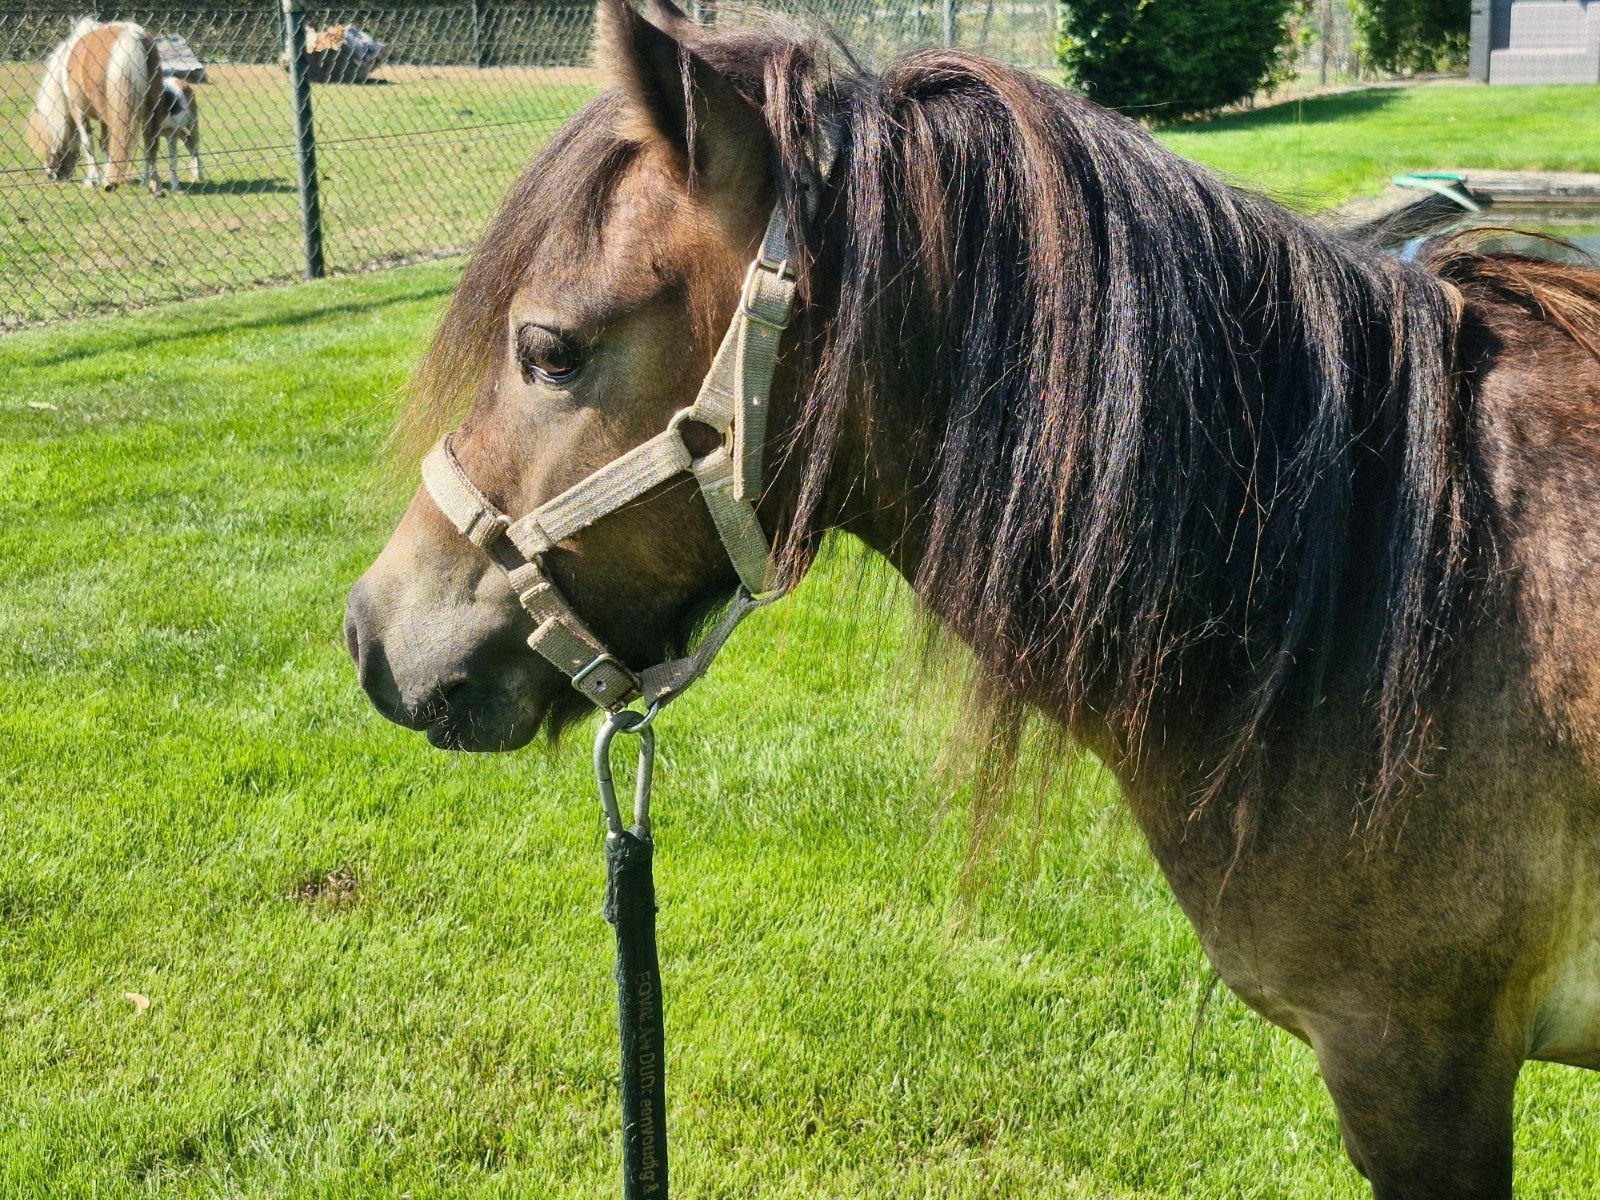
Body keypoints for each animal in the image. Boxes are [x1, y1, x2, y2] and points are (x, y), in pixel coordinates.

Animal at [26, 18, 165, 194]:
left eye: (47, 143)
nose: (52, 175)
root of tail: (131, 36)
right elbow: (104, 144)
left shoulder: (78, 111)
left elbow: (89, 144)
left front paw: (93, 180)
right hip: (152, 107)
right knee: (150, 142)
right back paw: (152, 184)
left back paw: (110, 181)